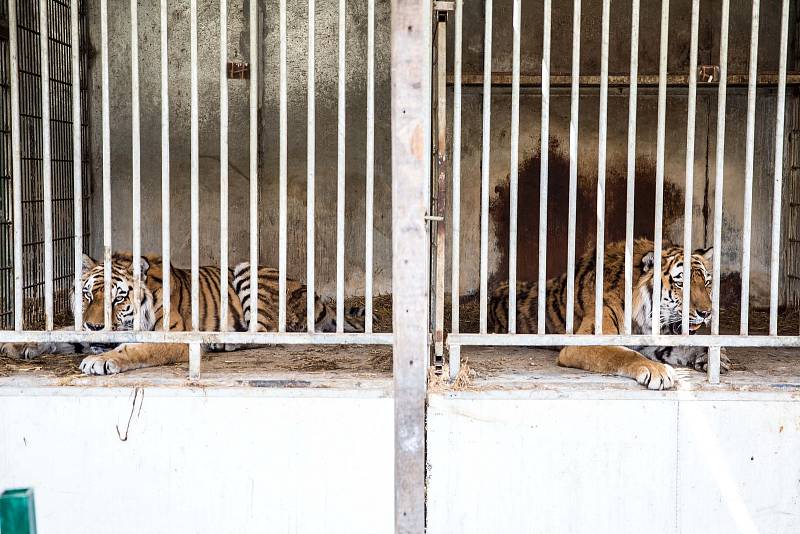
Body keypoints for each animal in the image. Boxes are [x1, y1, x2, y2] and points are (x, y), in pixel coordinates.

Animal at [0, 254, 368, 376]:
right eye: (88, 293)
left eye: (119, 297)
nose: (94, 326)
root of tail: (313, 292)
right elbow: (60, 332)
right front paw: (18, 344)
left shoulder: (172, 337)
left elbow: (134, 349)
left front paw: (102, 361)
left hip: (250, 272)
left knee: (266, 334)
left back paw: (222, 343)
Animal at [488, 241, 732, 392]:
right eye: (681, 283)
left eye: (707, 283)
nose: (706, 313)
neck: (643, 315)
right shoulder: (585, 341)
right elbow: (623, 354)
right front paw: (657, 371)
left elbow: (681, 347)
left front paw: (715, 357)